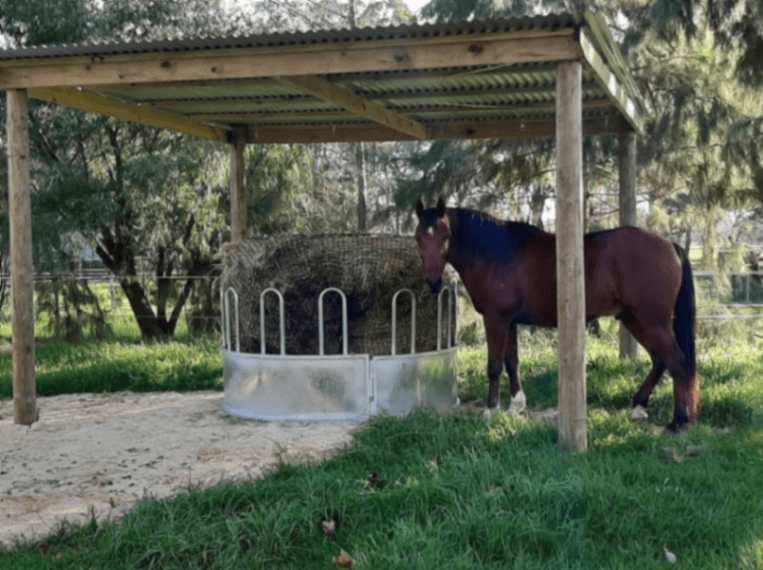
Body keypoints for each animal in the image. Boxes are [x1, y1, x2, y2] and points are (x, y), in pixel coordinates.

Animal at [415, 197, 698, 432]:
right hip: (634, 319)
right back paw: (640, 406)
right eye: (418, 238)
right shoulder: (510, 321)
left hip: (652, 321)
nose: (432, 282)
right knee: (660, 360)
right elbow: (512, 362)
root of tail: (669, 245)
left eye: (445, 236)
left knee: (676, 361)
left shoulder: (496, 319)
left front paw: (490, 410)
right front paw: (516, 406)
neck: (495, 253)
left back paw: (678, 421)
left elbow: (494, 366)